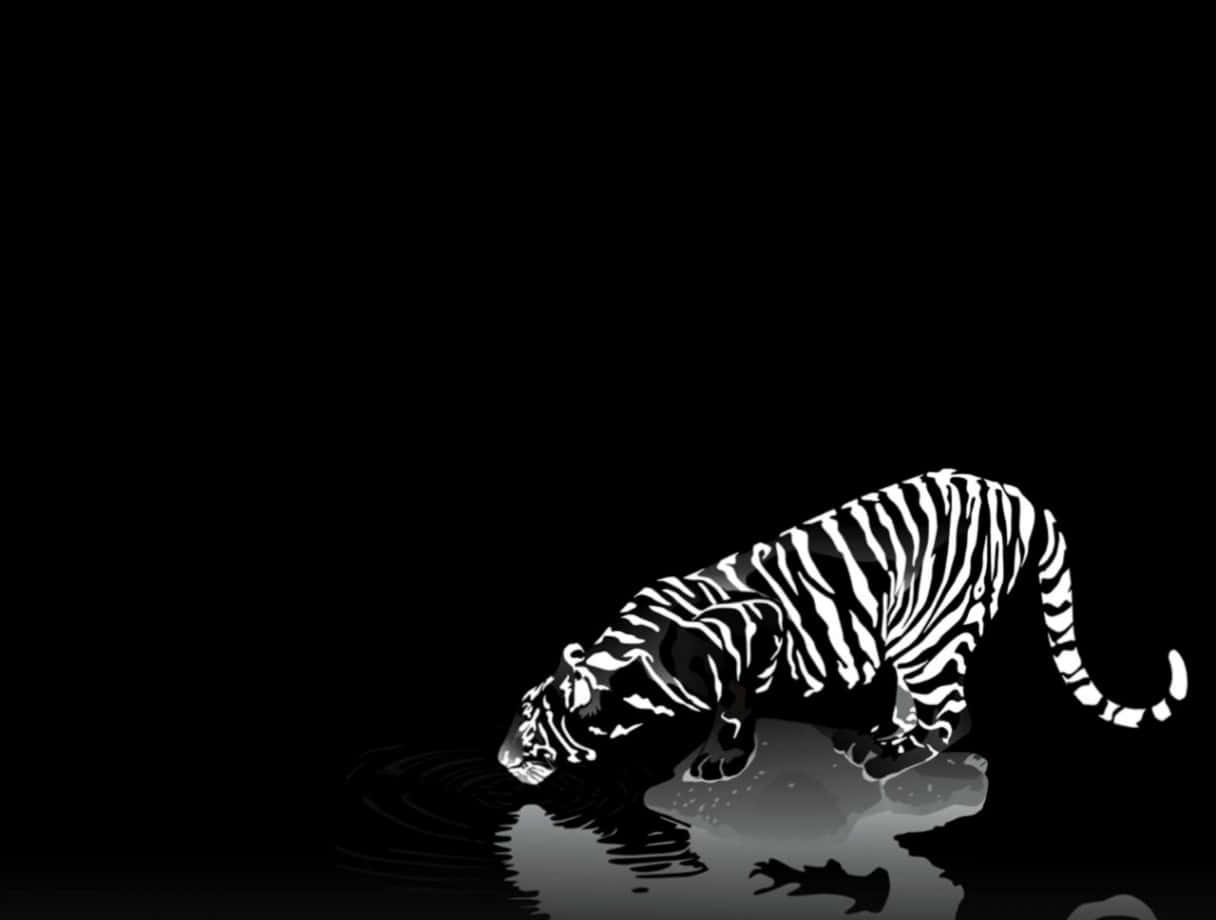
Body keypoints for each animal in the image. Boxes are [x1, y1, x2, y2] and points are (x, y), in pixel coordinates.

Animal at [497, 469, 1188, 785]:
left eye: (532, 729)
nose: (502, 762)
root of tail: (1012, 492)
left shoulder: (754, 629)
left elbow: (733, 705)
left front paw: (721, 758)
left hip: (930, 637)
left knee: (957, 715)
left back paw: (889, 758)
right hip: (913, 637)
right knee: (920, 702)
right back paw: (880, 736)